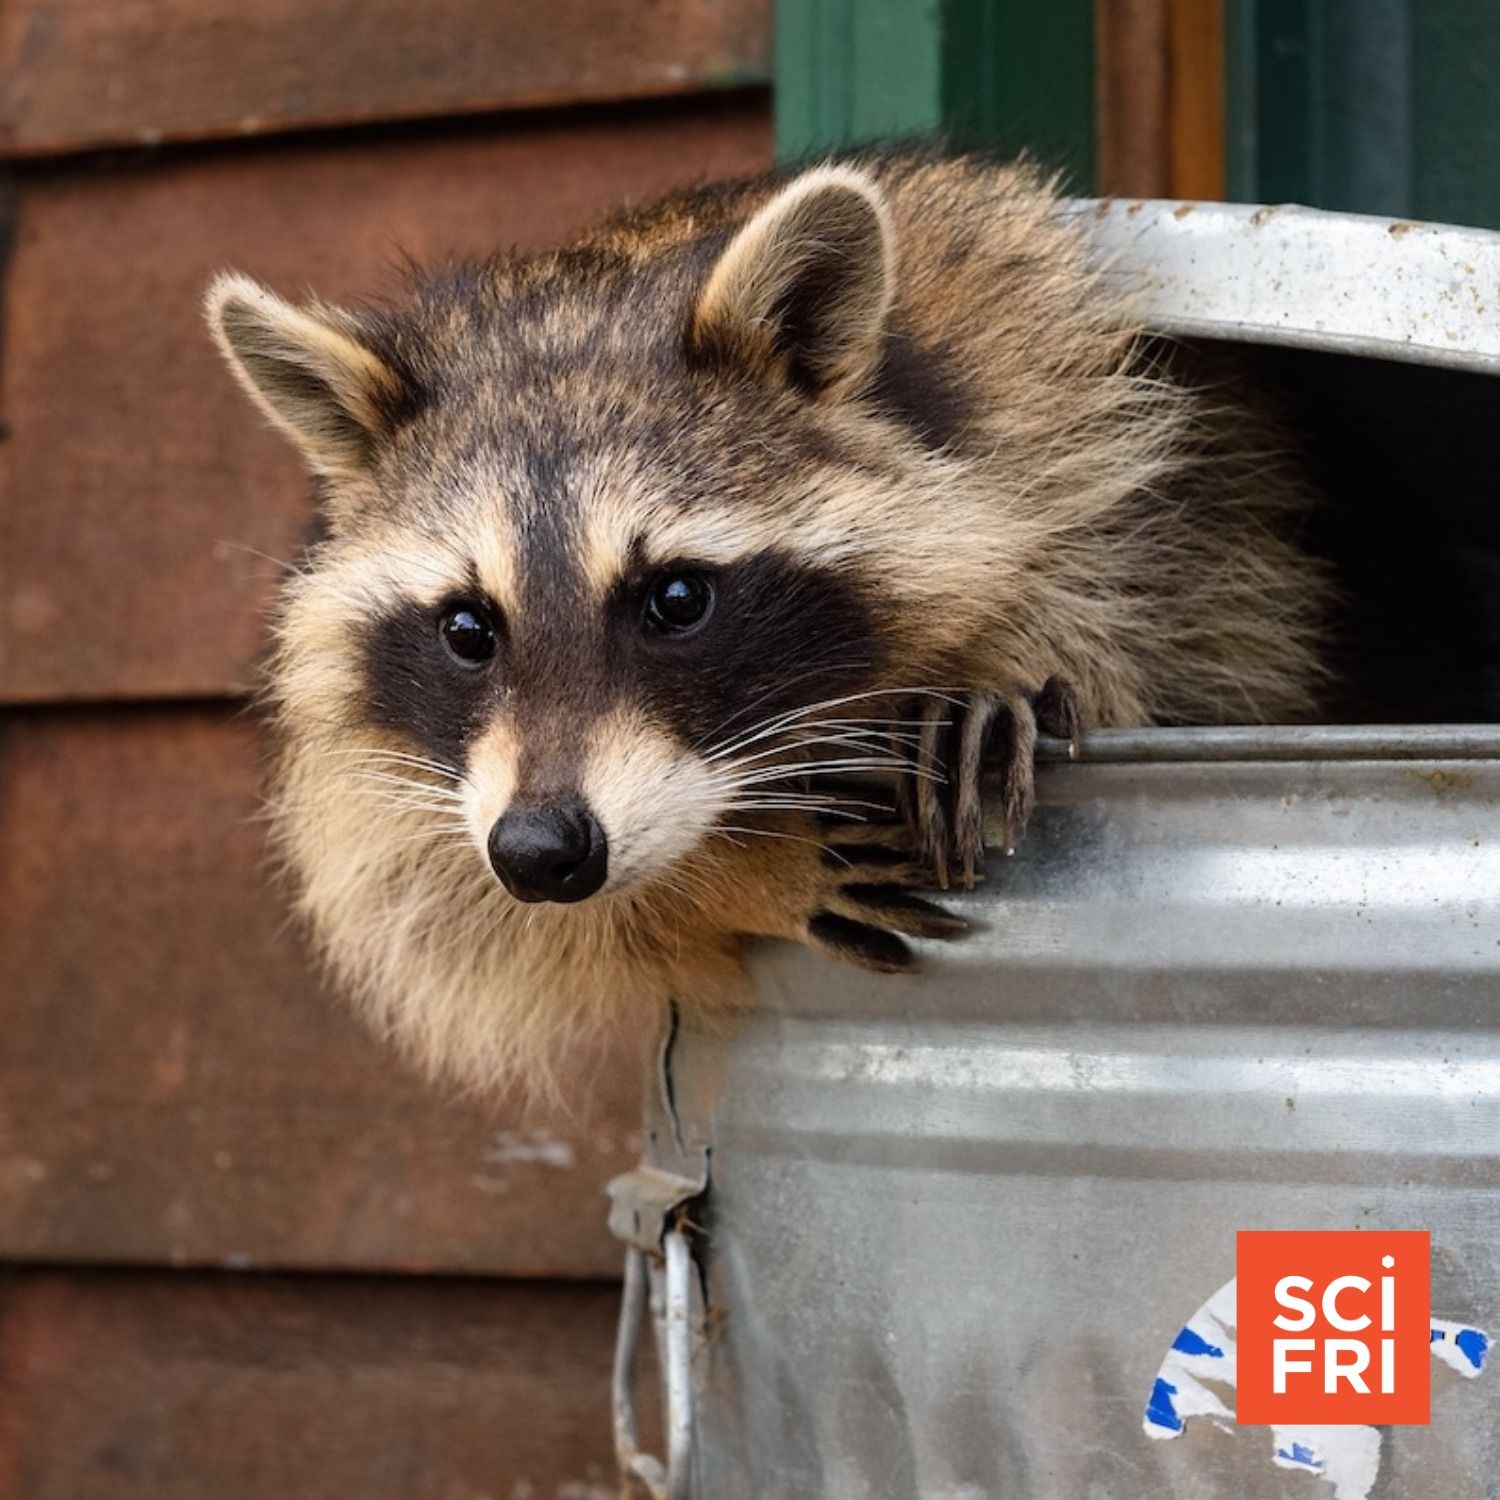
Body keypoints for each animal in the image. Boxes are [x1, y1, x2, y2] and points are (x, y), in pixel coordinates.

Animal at [206, 150, 1327, 1096]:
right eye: (468, 629)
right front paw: (735, 877)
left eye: (676, 600)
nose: (541, 849)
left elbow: (1154, 605)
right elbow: (442, 902)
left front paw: (1010, 651)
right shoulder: (403, 781)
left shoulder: (1071, 411)